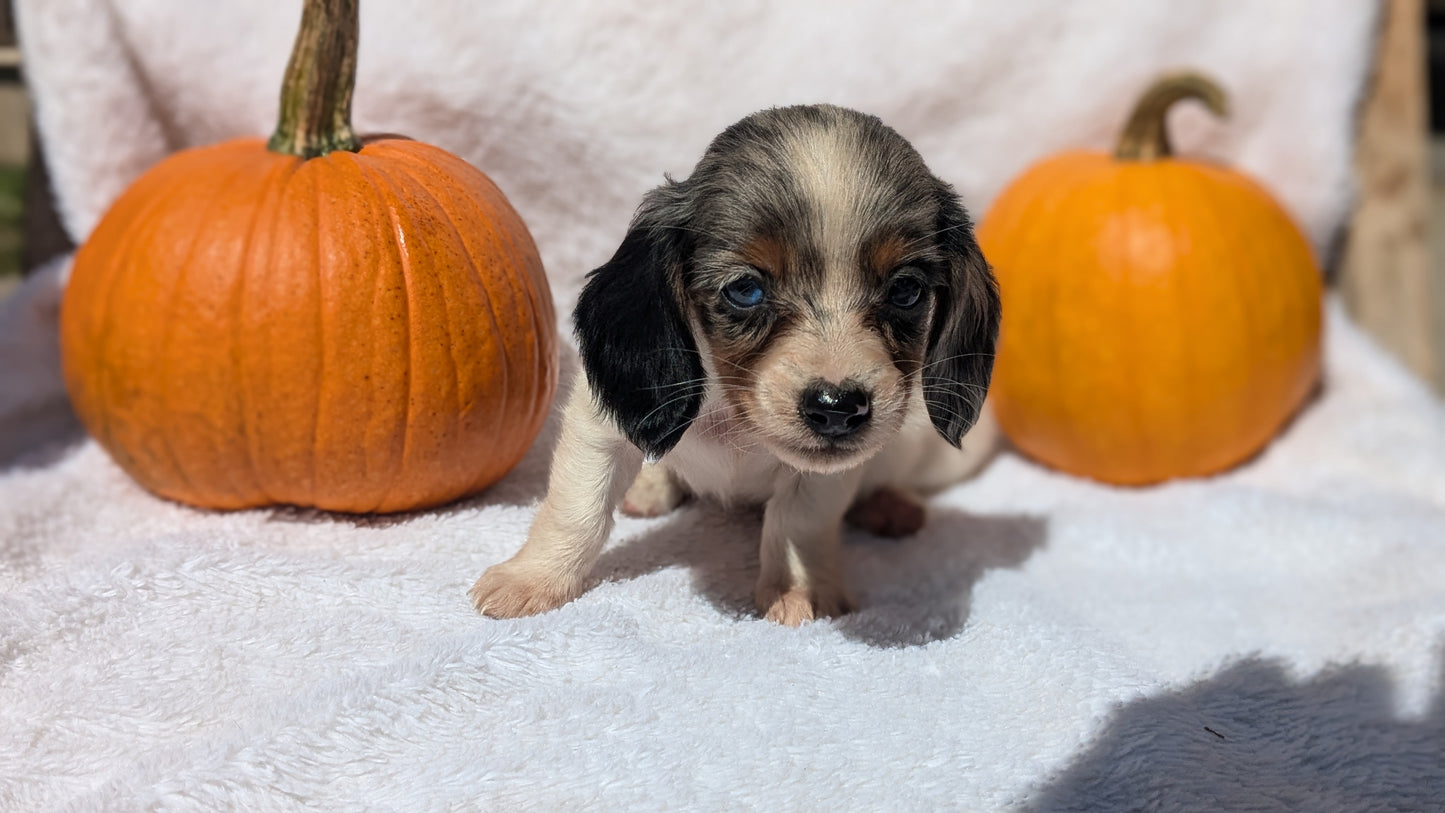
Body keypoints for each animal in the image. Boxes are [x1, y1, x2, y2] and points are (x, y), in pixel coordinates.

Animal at [468, 104, 999, 626]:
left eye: (905, 290)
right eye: (745, 289)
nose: (837, 408)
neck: (733, 420)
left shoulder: (823, 478)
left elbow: (797, 523)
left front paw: (799, 592)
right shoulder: (595, 424)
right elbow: (578, 510)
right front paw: (533, 578)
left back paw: (891, 505)